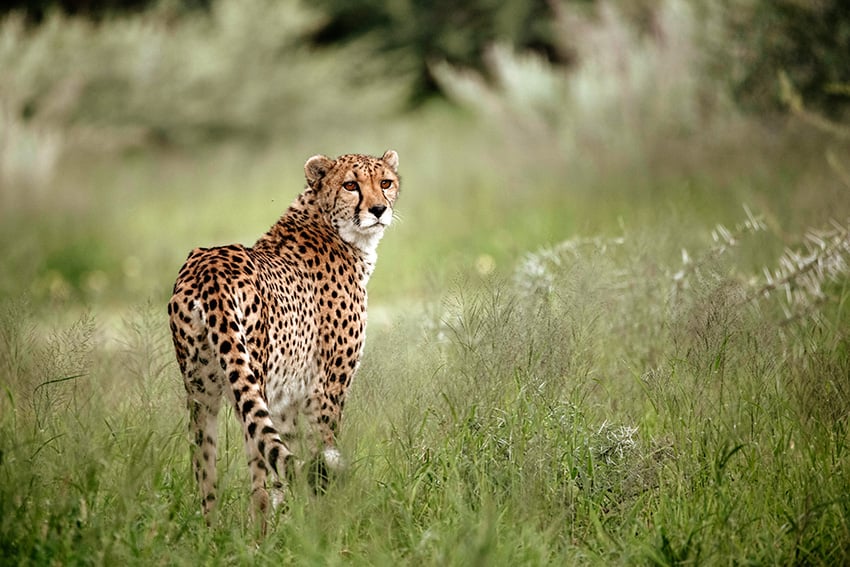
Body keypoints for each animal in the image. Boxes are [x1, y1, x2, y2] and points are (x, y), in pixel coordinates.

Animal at [169, 150, 400, 524]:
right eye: (351, 185)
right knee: (257, 482)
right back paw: (257, 532)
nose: (378, 209)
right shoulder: (327, 390)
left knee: (206, 473)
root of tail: (210, 265)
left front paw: (294, 521)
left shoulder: (285, 400)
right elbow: (325, 446)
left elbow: (286, 466)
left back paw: (211, 530)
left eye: (386, 182)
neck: (330, 224)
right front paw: (329, 518)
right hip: (251, 380)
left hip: (201, 392)